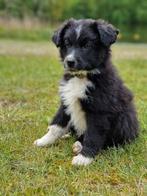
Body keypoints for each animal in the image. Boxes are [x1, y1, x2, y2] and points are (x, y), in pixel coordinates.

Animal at [34, 18, 138, 165]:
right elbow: (56, 125)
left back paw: (79, 146)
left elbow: (93, 136)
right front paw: (44, 141)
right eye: (67, 43)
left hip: (125, 119)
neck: (81, 77)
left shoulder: (99, 111)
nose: (69, 61)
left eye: (87, 45)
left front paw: (84, 158)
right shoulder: (66, 101)